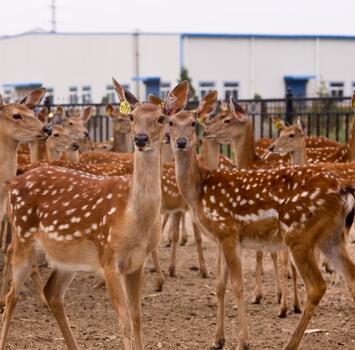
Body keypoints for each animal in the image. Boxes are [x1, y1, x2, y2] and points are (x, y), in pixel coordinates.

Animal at [0, 79, 191, 350]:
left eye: (162, 118)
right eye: (132, 117)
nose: (140, 138)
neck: (134, 218)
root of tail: (14, 181)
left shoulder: (137, 263)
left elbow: (137, 318)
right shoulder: (108, 257)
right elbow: (124, 323)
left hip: (66, 256)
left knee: (52, 293)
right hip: (23, 237)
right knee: (11, 295)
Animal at [169, 88, 355, 350]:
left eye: (194, 122)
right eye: (170, 122)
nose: (181, 142)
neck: (199, 191)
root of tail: (343, 191)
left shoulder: (227, 231)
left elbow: (237, 285)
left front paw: (243, 342)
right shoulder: (223, 238)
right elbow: (219, 285)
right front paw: (217, 340)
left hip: (299, 234)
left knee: (317, 285)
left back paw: (290, 343)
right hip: (331, 236)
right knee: (352, 277)